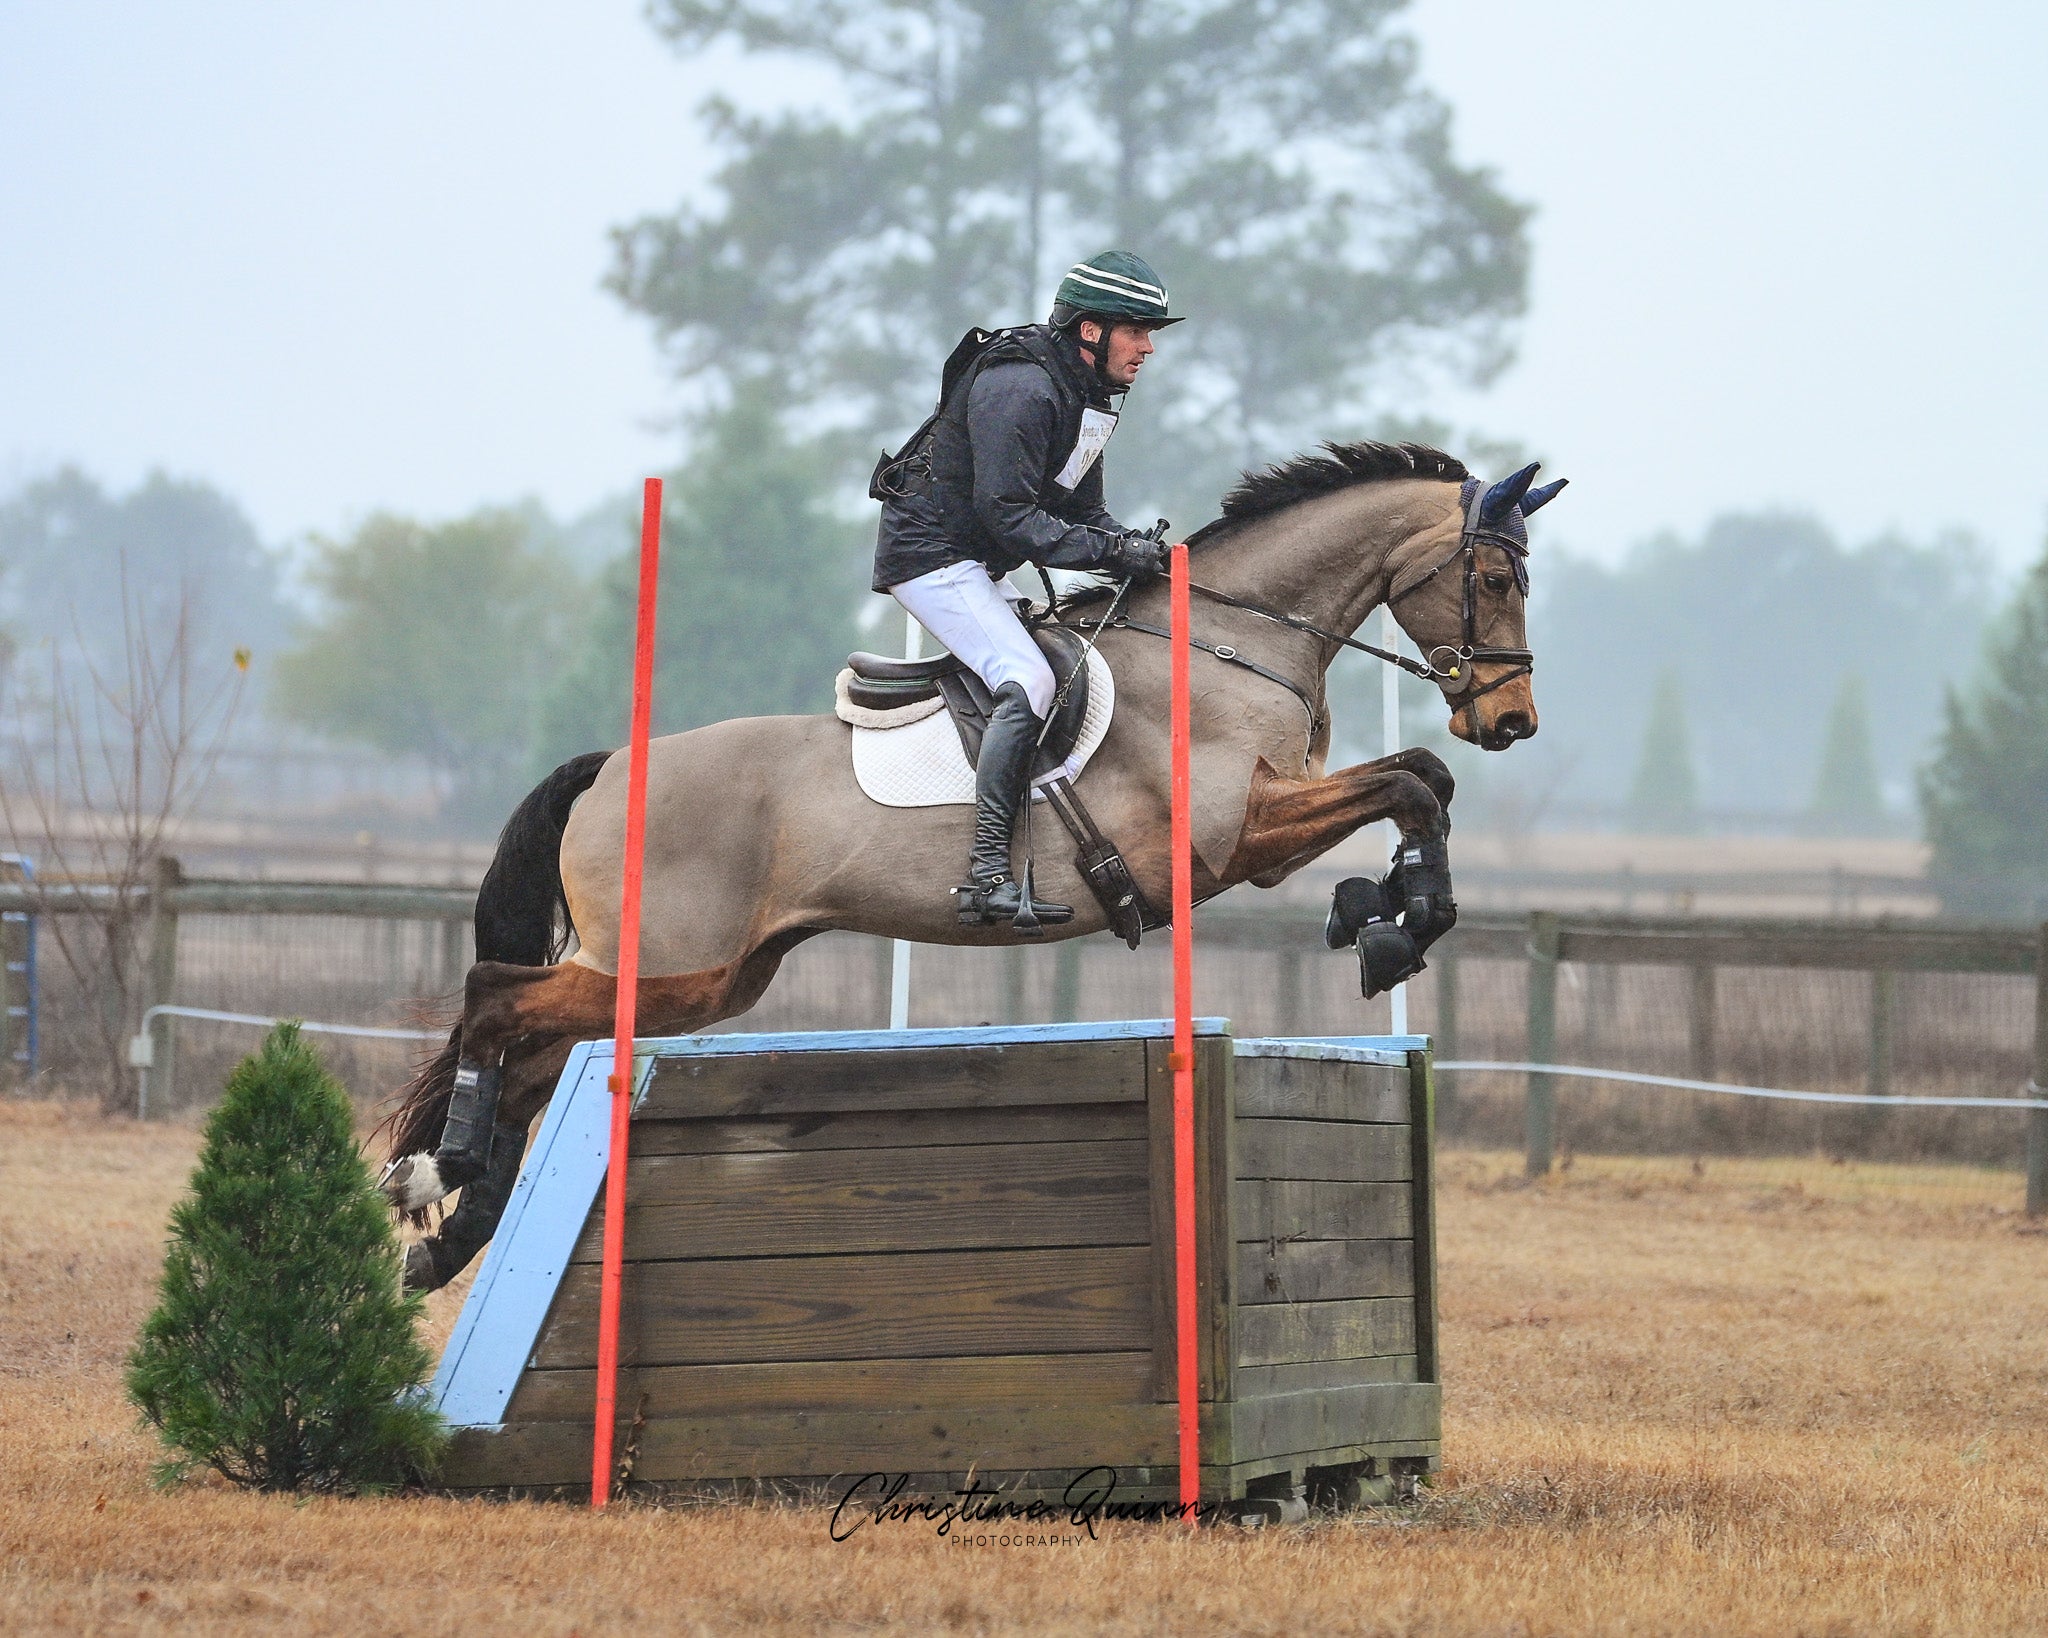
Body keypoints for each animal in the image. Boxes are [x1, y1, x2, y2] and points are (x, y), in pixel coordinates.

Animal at [381, 441, 1558, 1290]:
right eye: (1495, 575)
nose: (1510, 722)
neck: (1225, 647)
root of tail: (609, 767)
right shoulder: (1235, 838)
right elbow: (1413, 784)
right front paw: (1392, 925)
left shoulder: (1263, 828)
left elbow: (1418, 783)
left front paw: (1380, 907)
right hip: (679, 967)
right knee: (494, 998)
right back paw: (435, 1170)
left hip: (702, 977)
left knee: (529, 1048)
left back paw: (450, 1229)